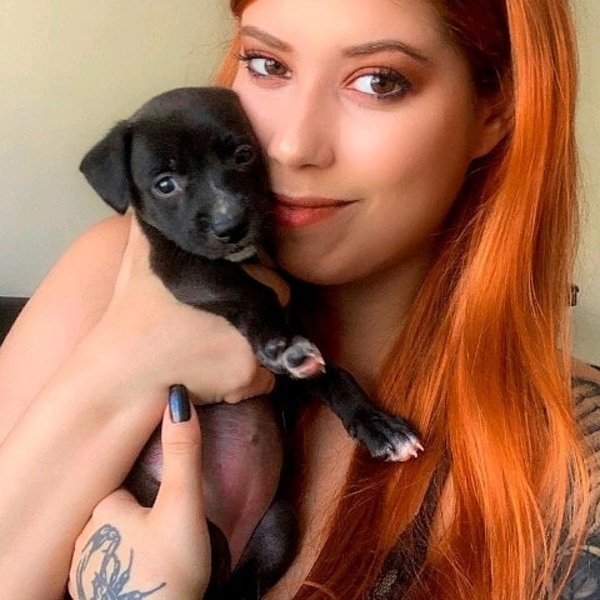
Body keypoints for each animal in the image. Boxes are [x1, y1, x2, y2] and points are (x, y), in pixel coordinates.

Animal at [80, 86, 423, 599]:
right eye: (165, 184)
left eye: (243, 154)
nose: (231, 226)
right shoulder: (183, 267)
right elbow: (247, 289)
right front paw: (280, 343)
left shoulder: (293, 374)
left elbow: (337, 376)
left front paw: (378, 425)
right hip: (197, 530)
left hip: (277, 526)